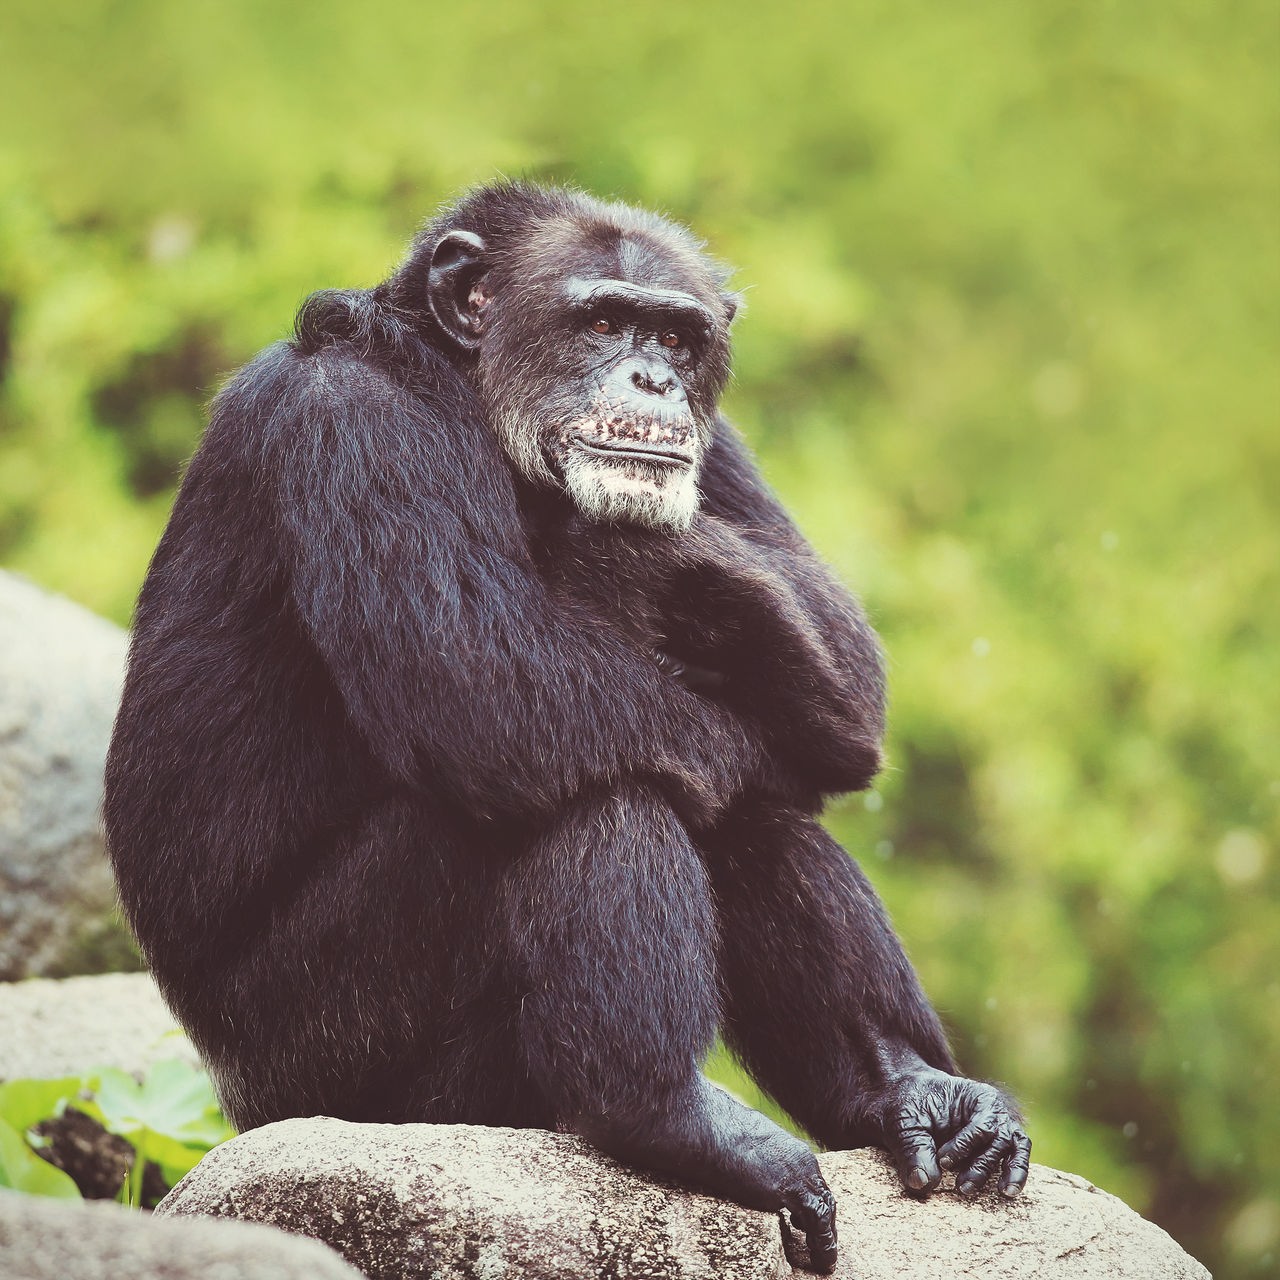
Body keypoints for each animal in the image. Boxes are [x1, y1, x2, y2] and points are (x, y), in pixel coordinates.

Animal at [104, 180, 1034, 1269]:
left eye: (673, 337)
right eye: (599, 322)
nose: (652, 378)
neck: (459, 384)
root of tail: (238, 1105)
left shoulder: (724, 447)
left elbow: (844, 655)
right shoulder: (350, 425)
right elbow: (477, 678)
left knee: (743, 815)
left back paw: (910, 1089)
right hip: (334, 1057)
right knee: (598, 786)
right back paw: (671, 1115)